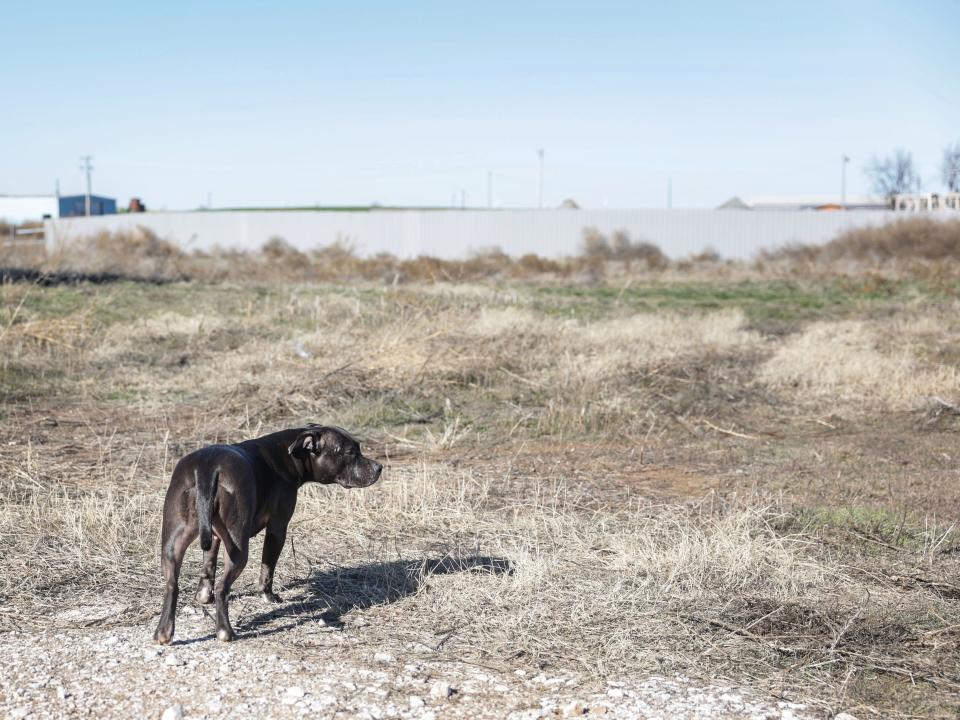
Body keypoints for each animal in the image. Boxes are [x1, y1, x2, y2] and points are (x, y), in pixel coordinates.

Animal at [152, 424, 380, 644]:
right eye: (350, 452)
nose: (379, 467)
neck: (289, 454)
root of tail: (207, 469)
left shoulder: (214, 537)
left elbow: (208, 566)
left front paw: (203, 597)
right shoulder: (278, 529)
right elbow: (267, 568)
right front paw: (268, 596)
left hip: (172, 547)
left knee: (172, 585)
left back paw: (164, 632)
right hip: (238, 549)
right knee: (222, 588)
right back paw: (225, 631)